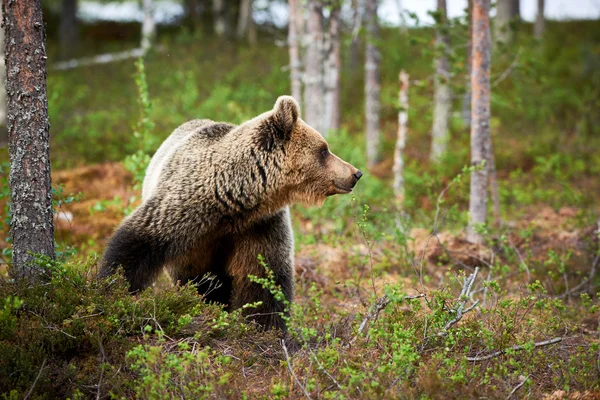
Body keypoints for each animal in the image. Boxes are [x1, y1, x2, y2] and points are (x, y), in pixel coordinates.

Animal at [99, 95, 360, 330]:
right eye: (324, 150)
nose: (356, 173)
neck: (234, 200)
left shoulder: (260, 225)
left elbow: (264, 277)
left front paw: (265, 327)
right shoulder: (185, 207)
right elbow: (137, 243)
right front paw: (110, 289)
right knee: (199, 280)